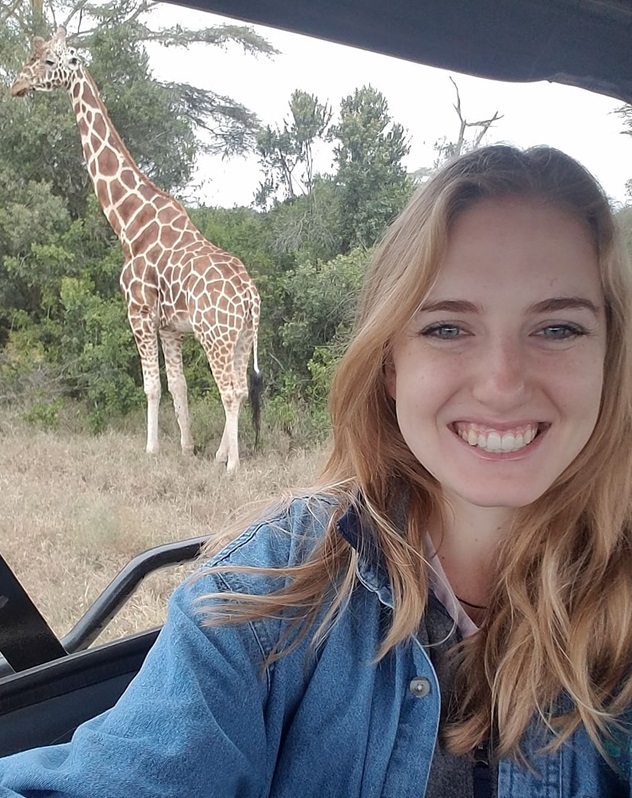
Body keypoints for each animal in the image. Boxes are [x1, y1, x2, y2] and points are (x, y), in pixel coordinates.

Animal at [10, 27, 262, 472]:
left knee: (230, 390)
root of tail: (250, 295)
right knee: (241, 389)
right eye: (33, 57)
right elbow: (178, 385)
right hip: (241, 337)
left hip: (215, 335)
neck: (130, 224)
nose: (16, 85)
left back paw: (232, 465)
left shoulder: (139, 312)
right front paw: (186, 447)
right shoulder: (170, 326)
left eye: (48, 61)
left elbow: (151, 386)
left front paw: (151, 448)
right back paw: (219, 454)